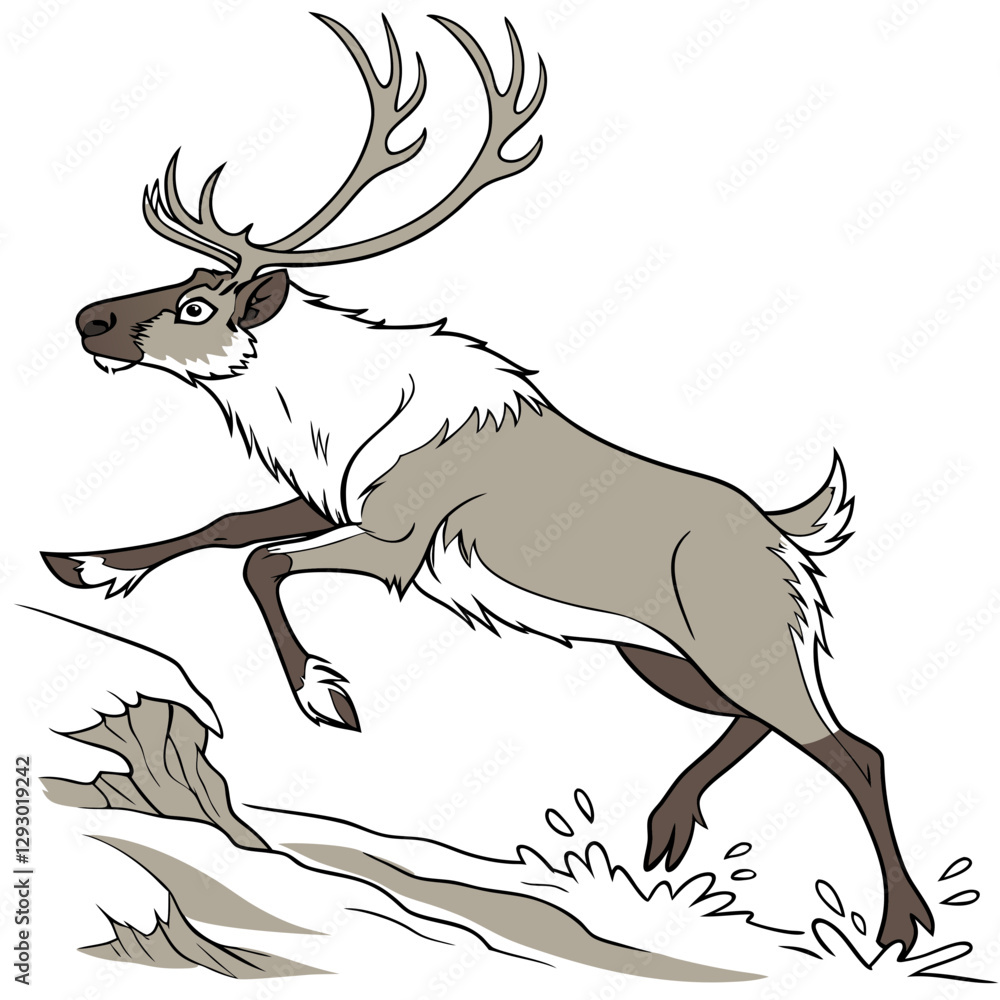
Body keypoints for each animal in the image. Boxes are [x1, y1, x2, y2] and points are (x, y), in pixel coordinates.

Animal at [41, 13, 934, 954]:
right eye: (184, 283)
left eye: (197, 307)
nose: (89, 319)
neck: (330, 419)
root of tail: (791, 536)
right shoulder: (330, 498)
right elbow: (224, 524)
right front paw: (84, 566)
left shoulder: (398, 543)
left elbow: (261, 564)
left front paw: (325, 694)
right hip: (664, 656)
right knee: (768, 723)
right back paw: (667, 826)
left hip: (737, 638)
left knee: (853, 749)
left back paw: (899, 924)